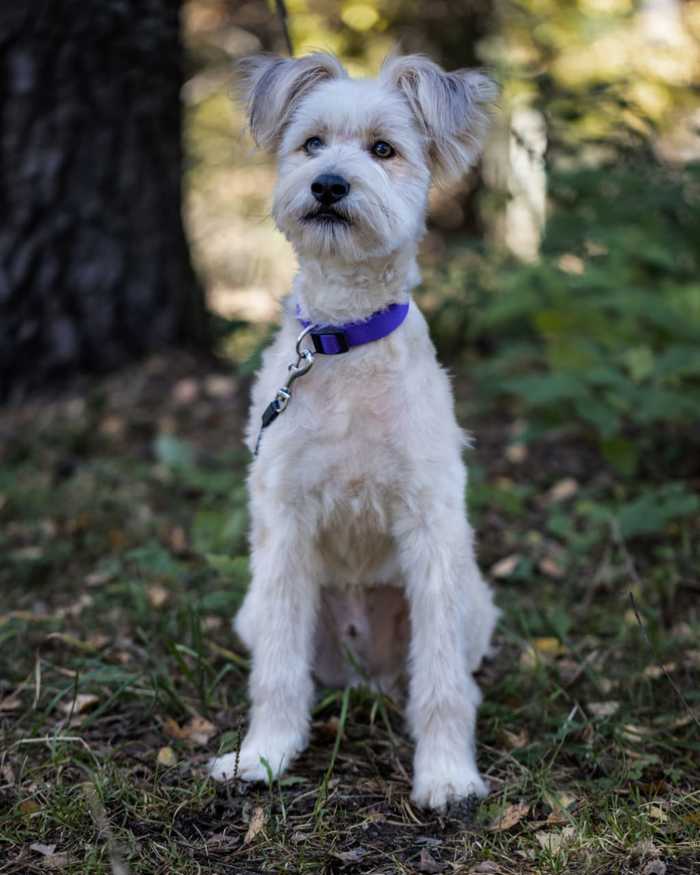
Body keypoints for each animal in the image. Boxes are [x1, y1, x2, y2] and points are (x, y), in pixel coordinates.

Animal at [208, 51, 498, 812]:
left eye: (383, 149)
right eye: (311, 143)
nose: (329, 185)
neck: (342, 340)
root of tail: (365, 669)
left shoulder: (430, 526)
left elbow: (441, 683)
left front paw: (447, 775)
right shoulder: (282, 526)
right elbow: (279, 669)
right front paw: (264, 755)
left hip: (472, 604)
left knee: (445, 675)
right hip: (257, 608)